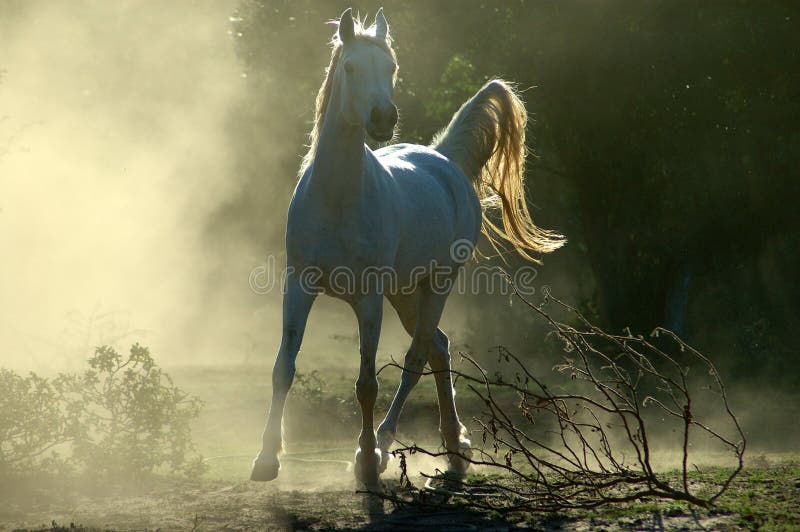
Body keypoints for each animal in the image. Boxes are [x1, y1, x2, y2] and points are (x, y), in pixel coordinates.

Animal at [250, 9, 564, 490]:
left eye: (392, 67)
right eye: (350, 67)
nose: (383, 117)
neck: (338, 198)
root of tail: (445, 159)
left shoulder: (369, 299)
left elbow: (366, 384)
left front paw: (365, 458)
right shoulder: (298, 286)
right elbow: (283, 367)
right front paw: (266, 459)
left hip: (436, 285)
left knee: (419, 357)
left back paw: (390, 447)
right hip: (404, 293)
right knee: (438, 347)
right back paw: (455, 446)